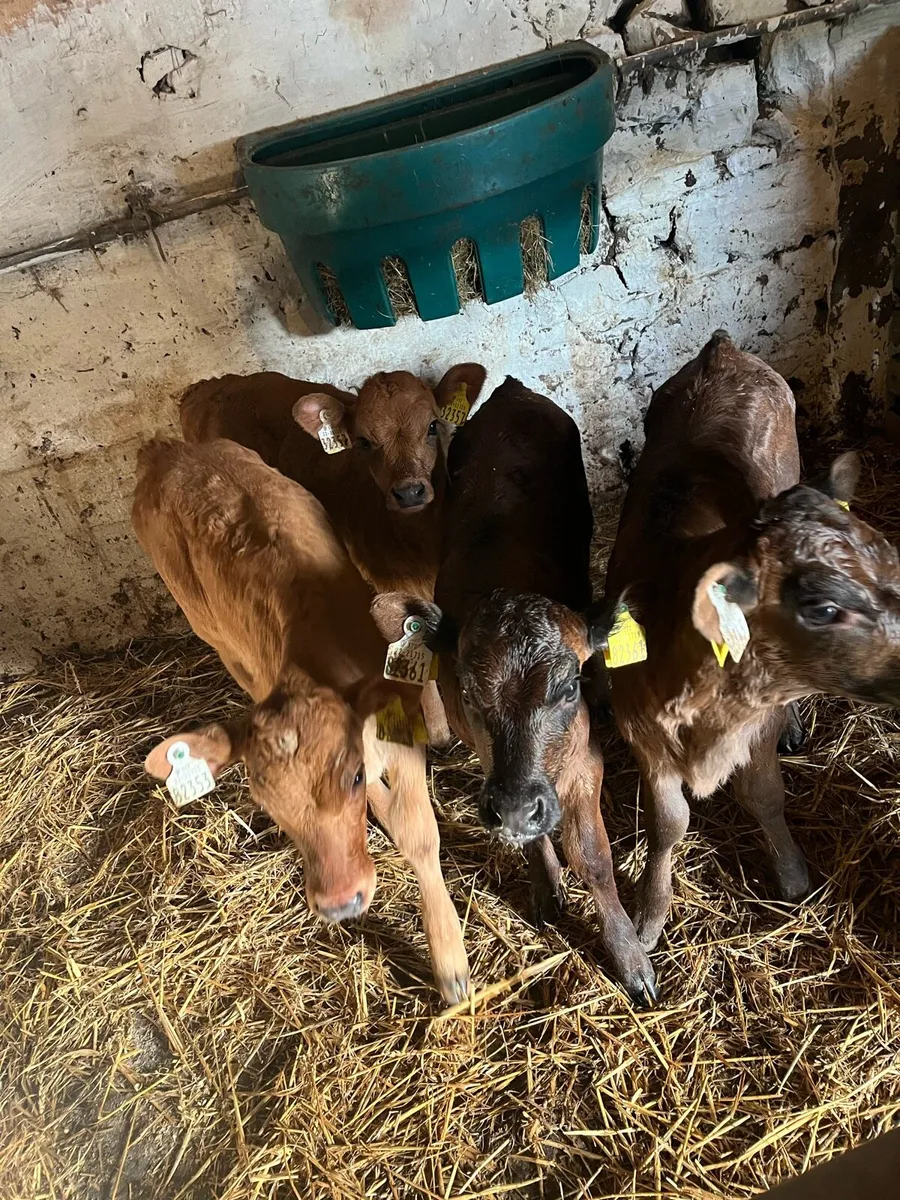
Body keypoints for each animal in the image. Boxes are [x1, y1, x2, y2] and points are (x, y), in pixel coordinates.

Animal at [133, 437, 470, 1004]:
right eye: (266, 803)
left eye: (352, 777)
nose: (339, 903)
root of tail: (167, 450)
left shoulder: (398, 740)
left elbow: (420, 834)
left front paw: (451, 963)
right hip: (216, 638)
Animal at [372, 379, 657, 1005]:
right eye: (467, 691)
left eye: (569, 686)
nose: (516, 806)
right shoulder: (489, 761)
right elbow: (534, 842)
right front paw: (546, 886)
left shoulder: (585, 761)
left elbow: (594, 858)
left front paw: (629, 955)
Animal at [598, 330, 900, 957]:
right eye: (822, 607)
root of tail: (722, 349)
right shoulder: (642, 734)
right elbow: (669, 823)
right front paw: (650, 914)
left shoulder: (755, 726)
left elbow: (762, 794)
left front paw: (792, 874)